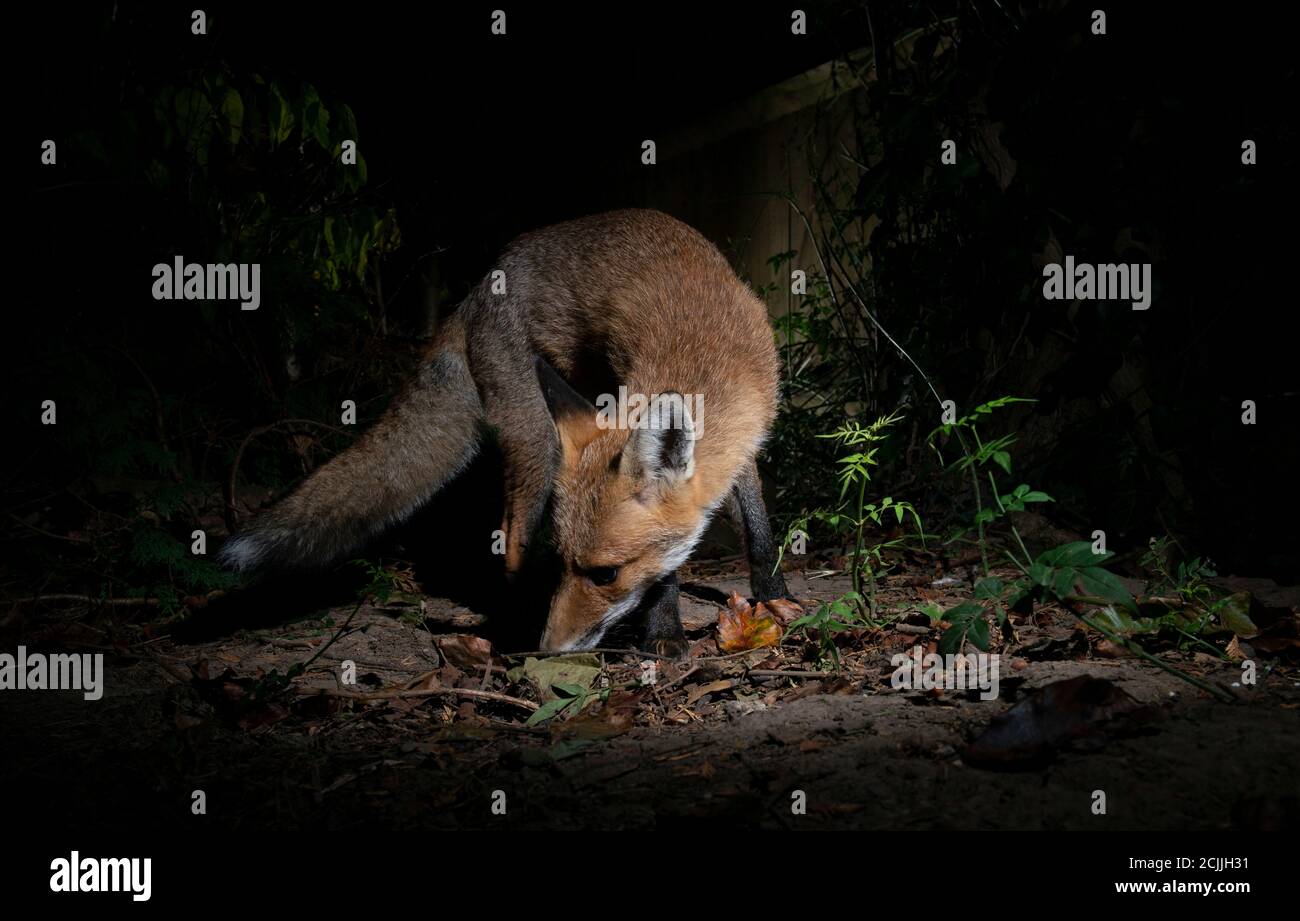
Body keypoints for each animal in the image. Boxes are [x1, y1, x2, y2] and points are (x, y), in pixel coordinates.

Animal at [222, 208, 785, 655]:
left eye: (604, 575)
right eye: (567, 565)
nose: (550, 647)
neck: (708, 350)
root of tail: (473, 293)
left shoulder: (745, 442)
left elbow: (758, 523)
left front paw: (774, 594)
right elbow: (666, 570)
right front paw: (664, 630)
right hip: (536, 440)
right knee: (511, 535)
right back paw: (514, 618)